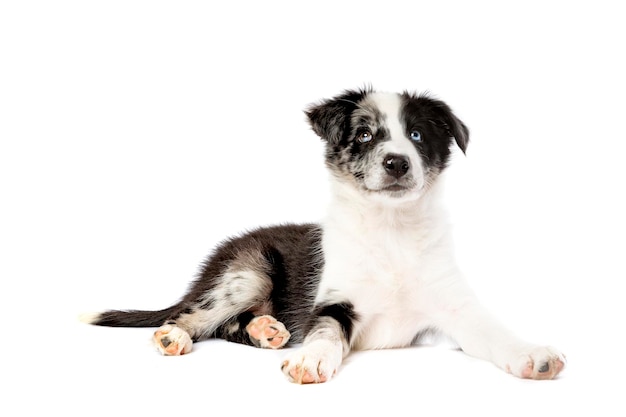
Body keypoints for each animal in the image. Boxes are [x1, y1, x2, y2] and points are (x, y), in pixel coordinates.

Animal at [80, 88, 564, 384]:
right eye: (364, 135)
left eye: (417, 135)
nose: (397, 162)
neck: (391, 231)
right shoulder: (334, 302)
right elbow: (325, 333)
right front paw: (310, 359)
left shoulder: (455, 309)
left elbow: (495, 332)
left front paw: (532, 355)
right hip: (246, 272)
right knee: (192, 316)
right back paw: (177, 337)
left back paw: (266, 330)